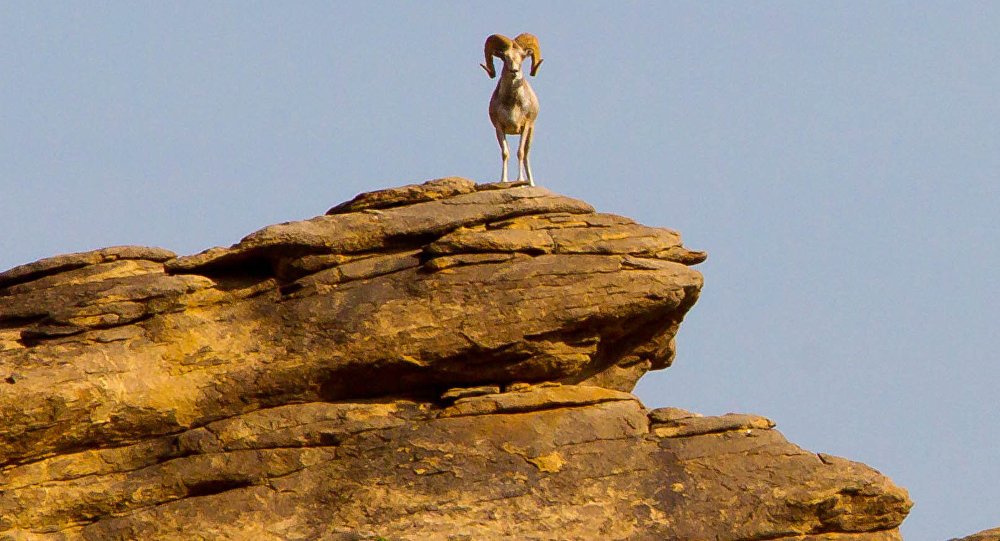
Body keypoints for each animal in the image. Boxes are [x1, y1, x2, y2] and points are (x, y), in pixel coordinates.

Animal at [482, 34, 544, 186]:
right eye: (505, 57)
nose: (514, 71)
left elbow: (520, 152)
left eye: (522, 56)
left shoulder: (525, 126)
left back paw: (530, 183)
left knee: (526, 154)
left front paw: (520, 180)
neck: (512, 104)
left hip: (530, 133)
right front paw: (503, 180)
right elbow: (505, 153)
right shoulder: (499, 127)